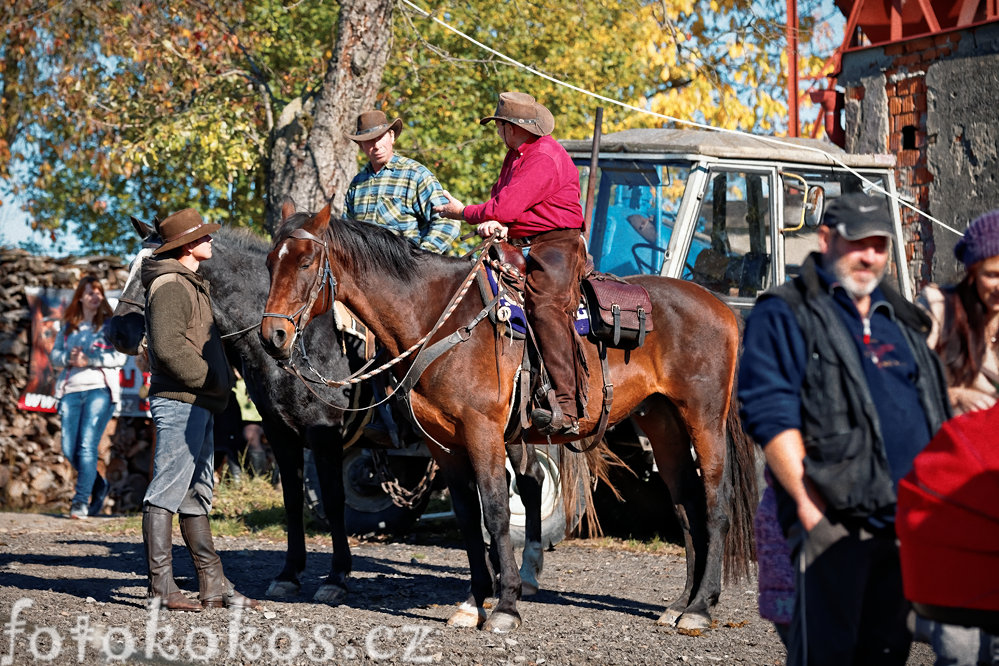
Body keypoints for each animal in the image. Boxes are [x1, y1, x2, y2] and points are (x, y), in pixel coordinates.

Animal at [260, 200, 756, 632]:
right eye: (269, 262)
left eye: (306, 262)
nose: (273, 336)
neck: (438, 318)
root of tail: (721, 307)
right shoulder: (446, 444)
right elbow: (467, 518)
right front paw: (473, 602)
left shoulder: (483, 432)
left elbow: (497, 511)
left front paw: (506, 605)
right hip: (663, 421)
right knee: (686, 503)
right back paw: (680, 604)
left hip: (704, 419)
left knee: (716, 502)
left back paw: (701, 609)